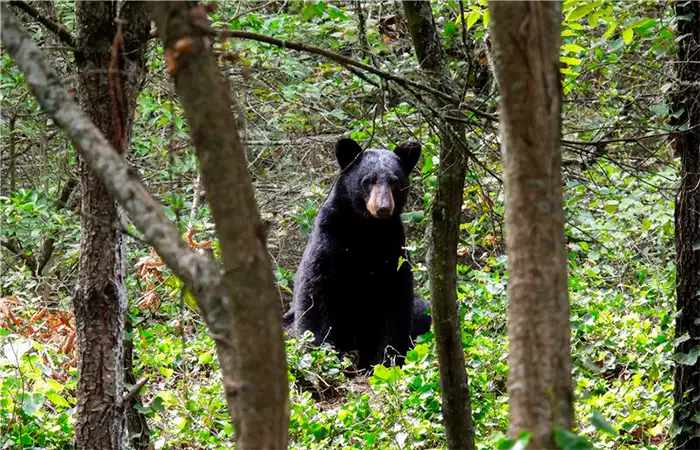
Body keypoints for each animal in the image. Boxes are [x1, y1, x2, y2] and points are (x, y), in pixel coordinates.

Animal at [285, 136, 430, 370]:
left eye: (395, 181)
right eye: (368, 180)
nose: (383, 208)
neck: (366, 229)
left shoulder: (393, 248)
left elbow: (396, 300)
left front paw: (385, 360)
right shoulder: (330, 238)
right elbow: (315, 291)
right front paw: (318, 355)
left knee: (422, 310)